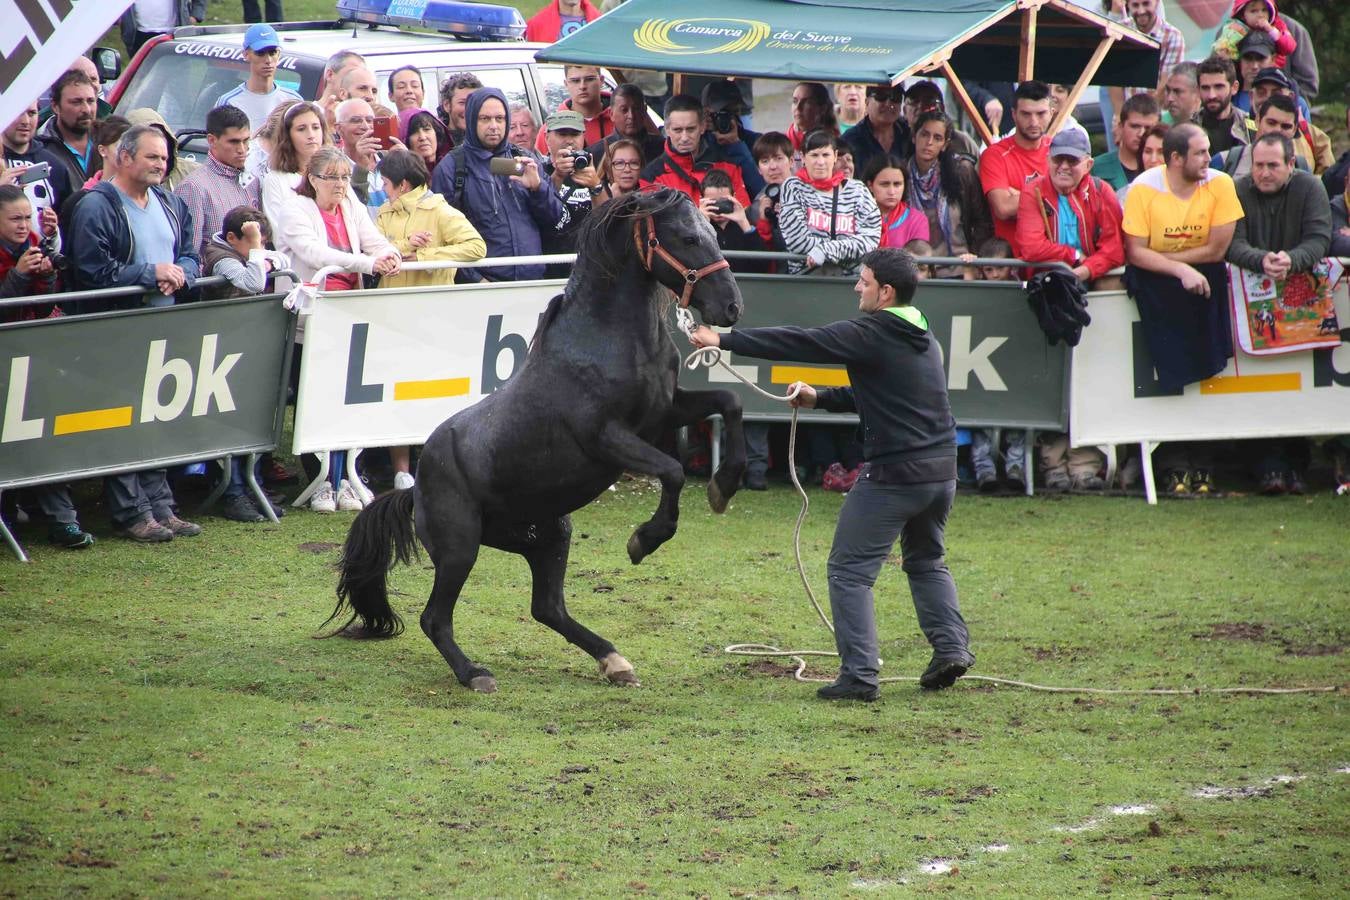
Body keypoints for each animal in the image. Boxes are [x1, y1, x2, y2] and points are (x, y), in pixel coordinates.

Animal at [326, 186, 750, 696]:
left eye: (713, 233)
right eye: (687, 237)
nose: (731, 307)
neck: (605, 340)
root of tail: (416, 488)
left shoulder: (665, 414)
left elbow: (730, 401)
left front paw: (724, 486)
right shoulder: (607, 436)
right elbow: (671, 471)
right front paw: (643, 541)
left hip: (548, 537)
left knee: (547, 608)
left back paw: (614, 661)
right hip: (460, 546)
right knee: (435, 618)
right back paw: (475, 674)